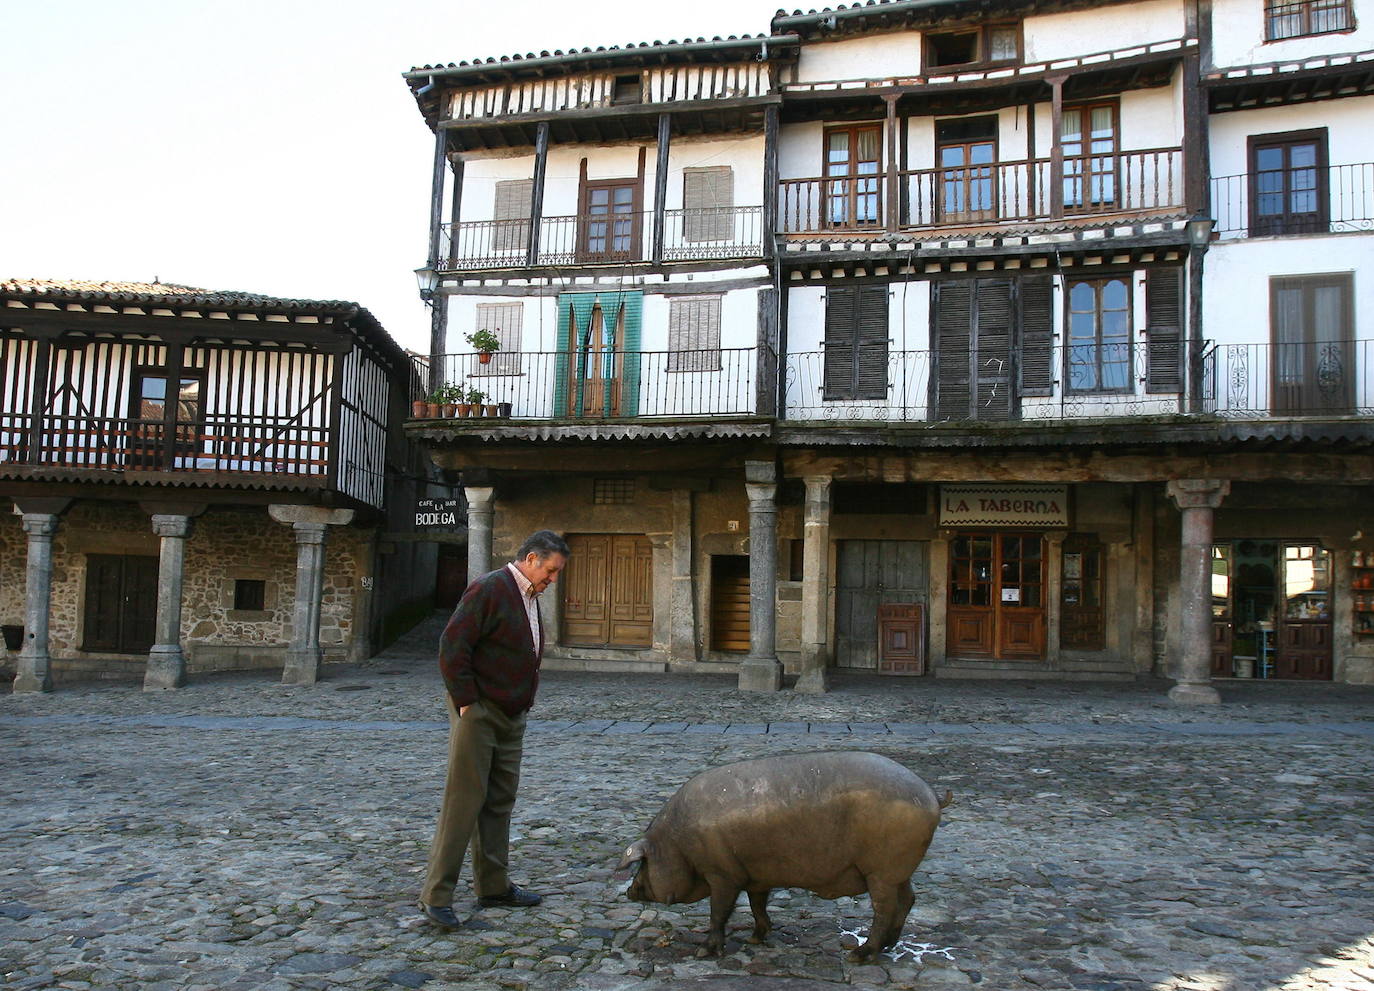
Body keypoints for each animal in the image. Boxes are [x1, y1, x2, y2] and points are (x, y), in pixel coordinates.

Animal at [618, 747, 950, 956]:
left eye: (642, 864)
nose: (629, 892)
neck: (677, 843)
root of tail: (931, 795)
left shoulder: (723, 873)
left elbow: (719, 911)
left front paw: (704, 952)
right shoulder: (756, 875)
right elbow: (757, 905)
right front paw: (755, 939)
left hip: (881, 871)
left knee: (885, 909)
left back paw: (860, 954)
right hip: (897, 871)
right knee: (908, 900)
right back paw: (890, 947)